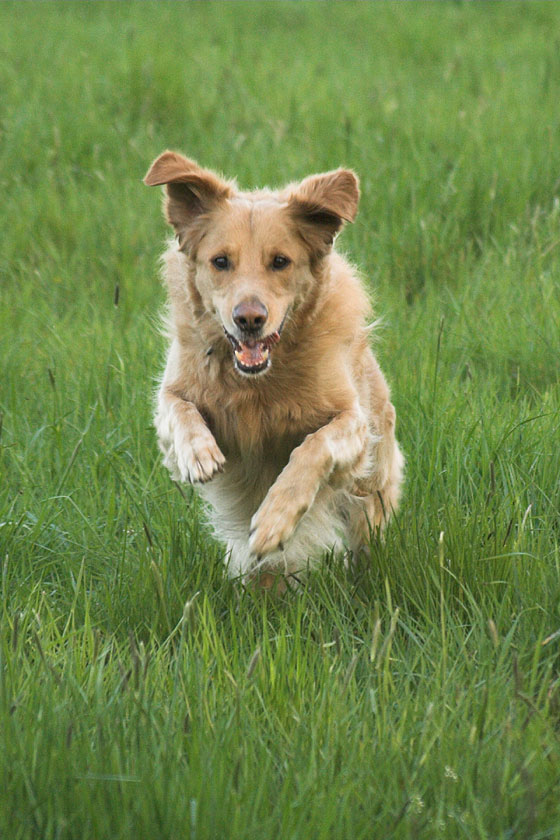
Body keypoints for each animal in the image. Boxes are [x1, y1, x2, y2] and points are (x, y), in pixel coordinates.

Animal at [145, 151, 402, 588]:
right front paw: (199, 453)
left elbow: (313, 447)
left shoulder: (352, 423)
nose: (249, 319)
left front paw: (273, 522)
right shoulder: (173, 392)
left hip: (370, 495)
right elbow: (180, 409)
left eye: (280, 261)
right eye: (220, 261)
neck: (258, 383)